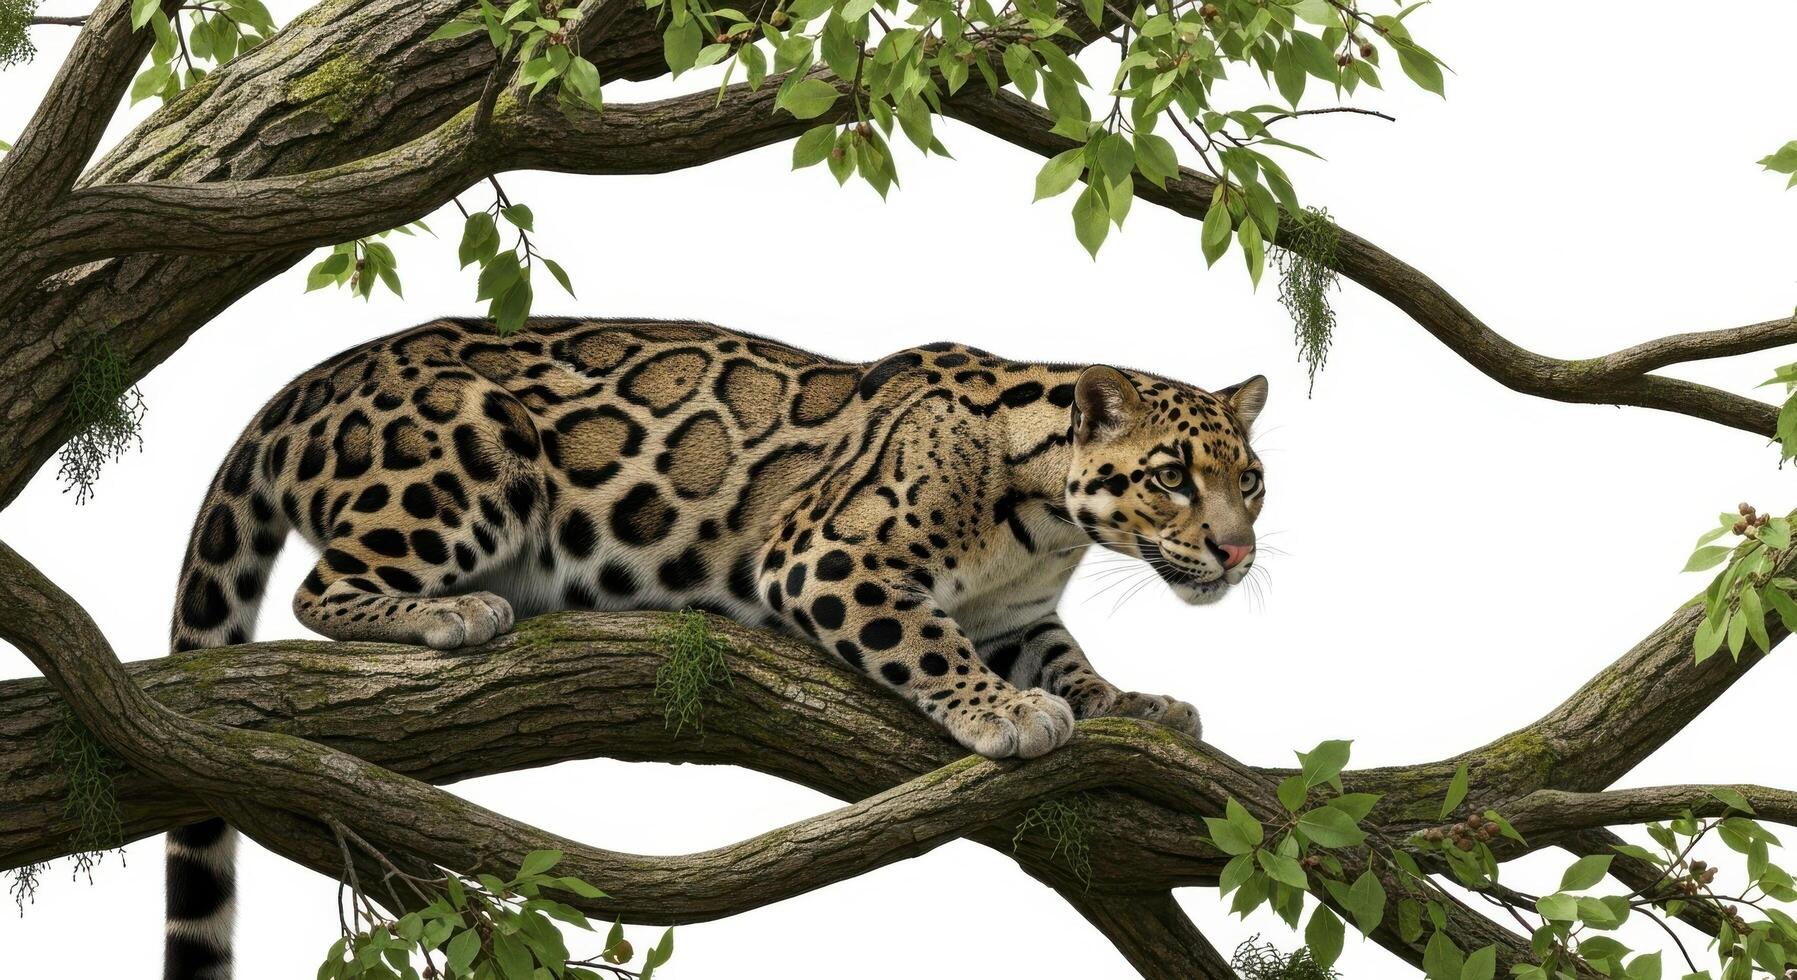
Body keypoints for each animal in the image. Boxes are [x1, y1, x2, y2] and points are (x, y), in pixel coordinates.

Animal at [159, 316, 1268, 979]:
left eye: (1249, 479)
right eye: (1171, 476)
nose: (1236, 550)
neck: (1043, 521)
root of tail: (303, 384)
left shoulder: (1017, 616)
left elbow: (1070, 660)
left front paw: (1133, 705)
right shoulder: (824, 557)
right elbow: (925, 640)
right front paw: (1006, 713)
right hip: (472, 447)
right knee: (321, 588)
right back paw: (455, 612)